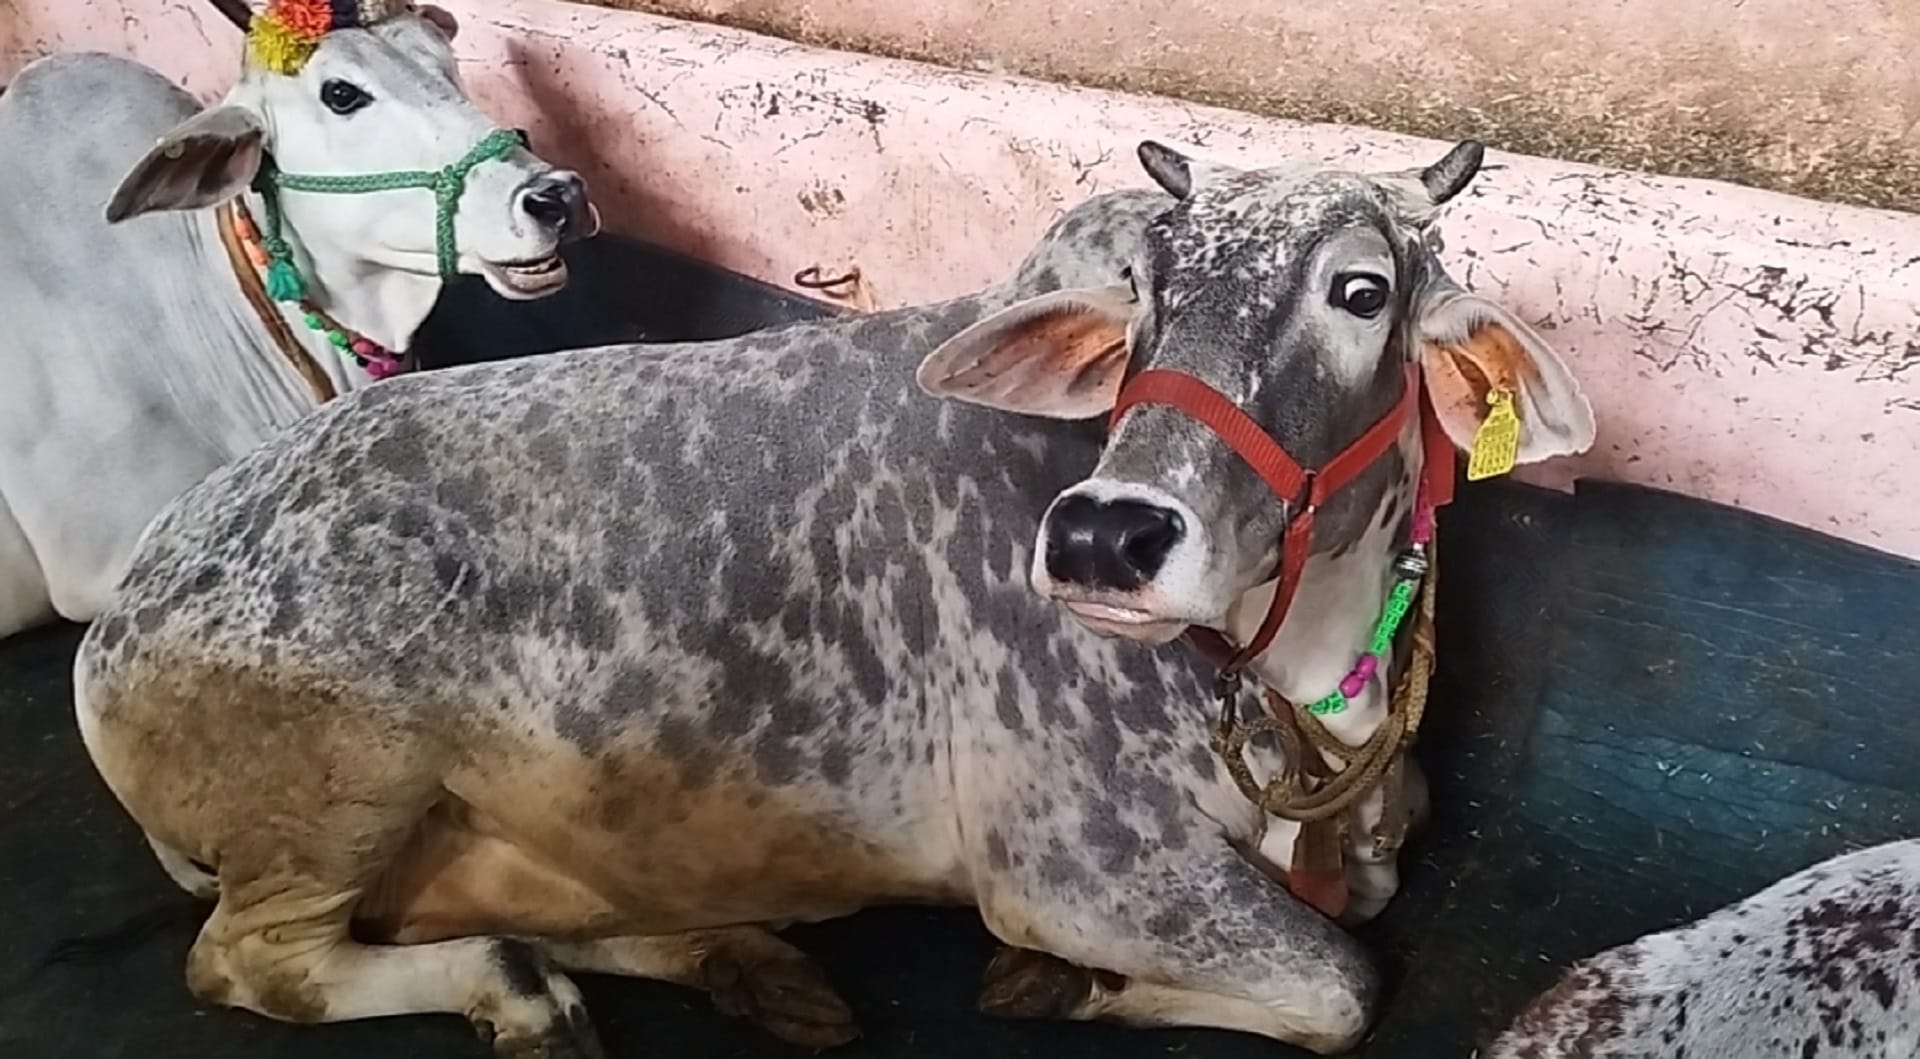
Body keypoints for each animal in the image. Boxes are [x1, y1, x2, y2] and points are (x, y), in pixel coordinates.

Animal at [73, 139, 1595, 1058]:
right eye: (1146, 300)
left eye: (1361, 289)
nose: (1103, 535)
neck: (1310, 694)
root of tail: (120, 610)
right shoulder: (1076, 863)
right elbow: (1340, 988)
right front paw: (1066, 982)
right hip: (340, 792)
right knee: (252, 963)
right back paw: (526, 991)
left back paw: (733, 962)